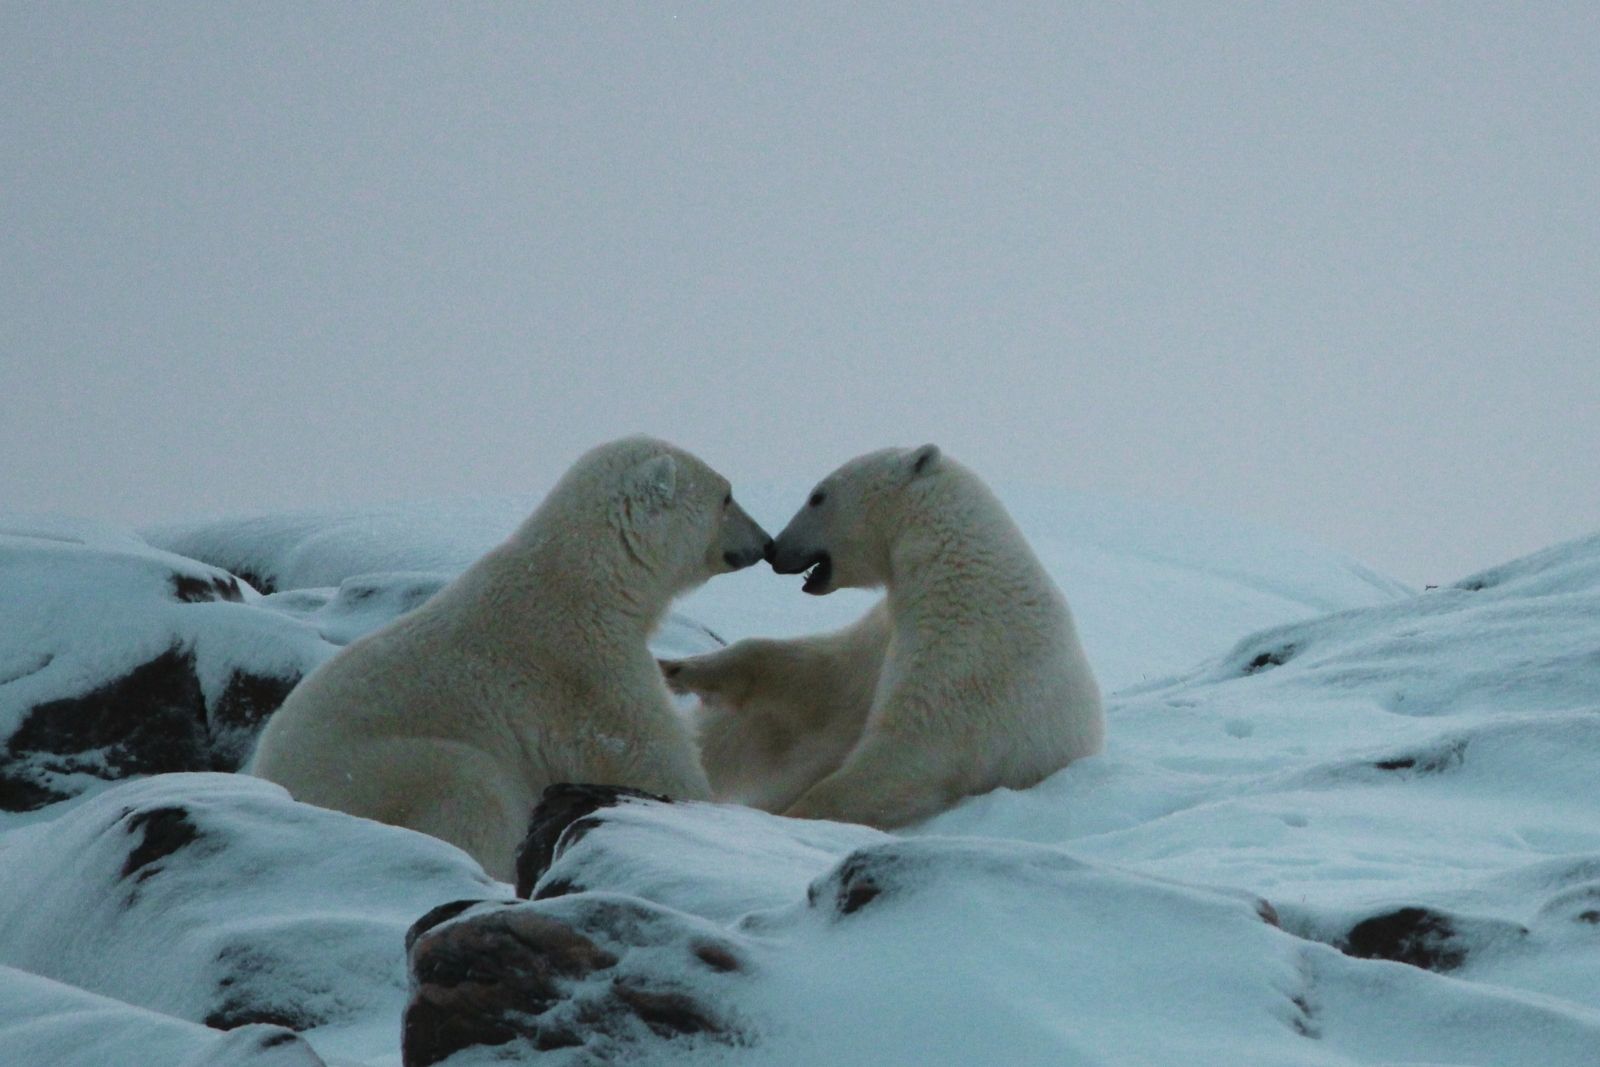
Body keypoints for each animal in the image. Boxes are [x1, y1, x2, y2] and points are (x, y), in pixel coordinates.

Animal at [249, 436, 772, 881]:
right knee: (473, 790)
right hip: (384, 773)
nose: (766, 542)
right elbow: (643, 752)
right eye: (726, 496)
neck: (588, 577)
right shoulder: (580, 660)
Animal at [662, 444, 1102, 828]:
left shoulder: (965, 655)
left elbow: (911, 754)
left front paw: (795, 816)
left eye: (818, 496)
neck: (954, 568)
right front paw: (677, 667)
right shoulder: (887, 631)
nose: (774, 549)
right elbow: (820, 678)